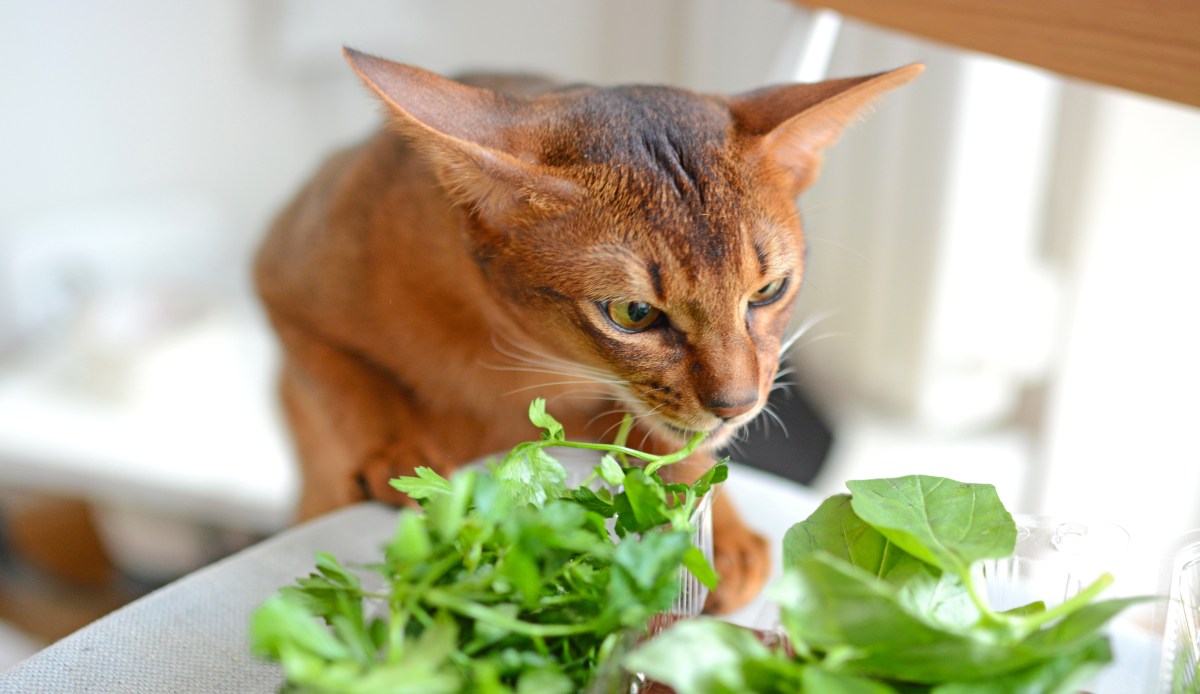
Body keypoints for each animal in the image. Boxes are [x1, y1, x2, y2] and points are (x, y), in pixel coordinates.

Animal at [258, 48, 921, 609]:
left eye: (768, 291)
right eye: (633, 314)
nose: (737, 405)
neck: (511, 350)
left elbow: (674, 447)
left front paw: (719, 534)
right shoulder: (279, 285)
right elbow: (349, 383)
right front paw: (399, 456)